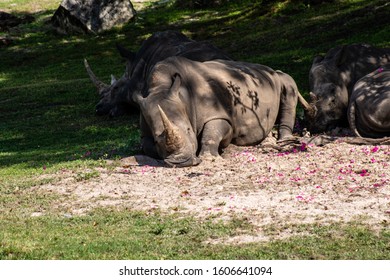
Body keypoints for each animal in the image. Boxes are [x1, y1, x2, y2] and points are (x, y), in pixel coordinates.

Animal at [134, 56, 308, 167]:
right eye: (157, 140)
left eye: (189, 130)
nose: (181, 162)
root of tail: (269, 69)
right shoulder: (145, 127)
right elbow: (147, 146)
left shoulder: (219, 114)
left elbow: (212, 134)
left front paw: (210, 158)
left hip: (278, 78)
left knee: (288, 83)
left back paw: (284, 140)